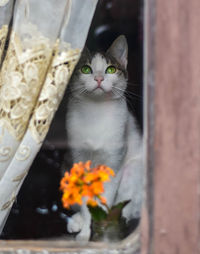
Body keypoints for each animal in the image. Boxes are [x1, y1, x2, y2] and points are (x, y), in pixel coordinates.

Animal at [65, 35, 143, 240]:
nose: (99, 78)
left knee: (129, 208)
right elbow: (87, 203)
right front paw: (85, 234)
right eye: (86, 69)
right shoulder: (79, 160)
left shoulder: (114, 163)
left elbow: (103, 200)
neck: (96, 112)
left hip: (133, 169)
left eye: (111, 69)